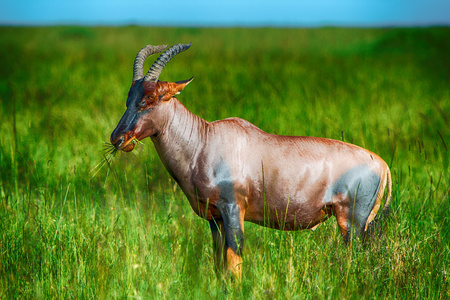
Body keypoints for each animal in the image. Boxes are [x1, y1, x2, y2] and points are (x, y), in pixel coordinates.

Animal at [109, 43, 390, 280]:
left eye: (150, 98)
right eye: (129, 98)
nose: (118, 139)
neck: (205, 140)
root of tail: (383, 165)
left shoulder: (233, 209)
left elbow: (234, 264)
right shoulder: (215, 218)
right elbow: (219, 265)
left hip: (352, 223)